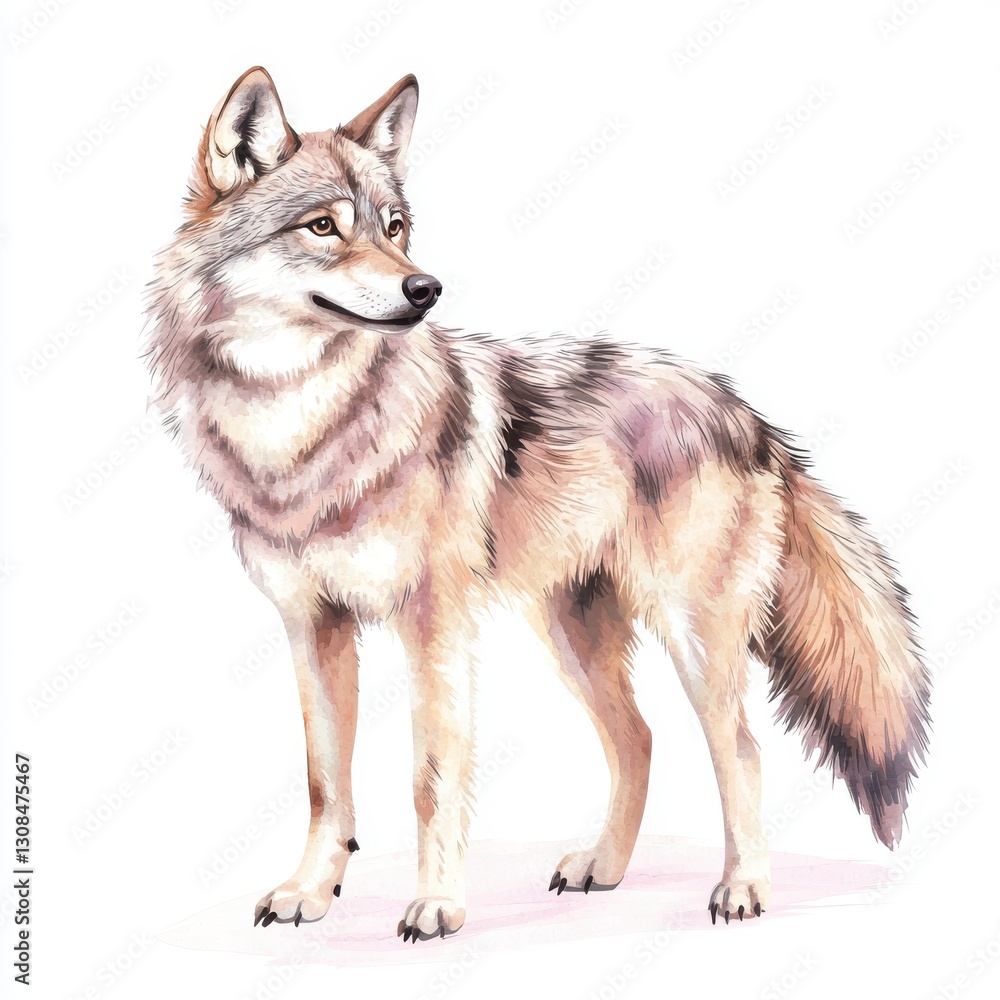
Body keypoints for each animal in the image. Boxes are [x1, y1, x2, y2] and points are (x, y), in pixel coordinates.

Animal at [145, 67, 931, 940]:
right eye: (323, 227)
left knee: (742, 750)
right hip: (572, 632)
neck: (300, 434)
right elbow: (325, 782)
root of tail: (748, 416)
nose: (427, 287)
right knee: (640, 739)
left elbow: (431, 777)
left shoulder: (433, 624)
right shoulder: (312, 626)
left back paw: (743, 889)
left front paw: (437, 906)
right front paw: (309, 893)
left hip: (692, 634)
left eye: (395, 228)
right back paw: (604, 868)